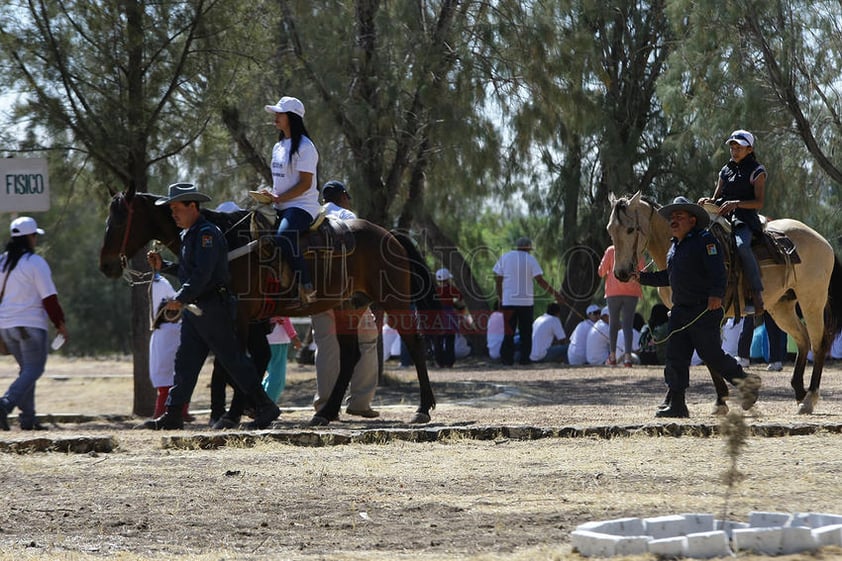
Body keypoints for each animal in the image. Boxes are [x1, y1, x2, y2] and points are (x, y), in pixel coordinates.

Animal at [100, 188, 440, 424]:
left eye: (119, 221)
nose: (106, 266)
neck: (228, 241)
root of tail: (388, 234)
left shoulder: (240, 315)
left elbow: (235, 362)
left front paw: (233, 413)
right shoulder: (247, 319)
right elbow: (241, 362)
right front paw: (245, 409)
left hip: (394, 301)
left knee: (414, 343)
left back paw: (423, 407)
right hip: (347, 306)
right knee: (349, 355)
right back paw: (326, 412)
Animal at [604, 190, 840, 414]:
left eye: (630, 230)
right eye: (610, 230)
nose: (621, 273)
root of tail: (822, 241)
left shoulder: (709, 316)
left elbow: (709, 354)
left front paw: (723, 399)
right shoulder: (678, 314)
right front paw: (687, 401)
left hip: (812, 301)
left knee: (818, 343)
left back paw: (809, 398)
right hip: (782, 307)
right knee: (803, 340)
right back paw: (799, 392)